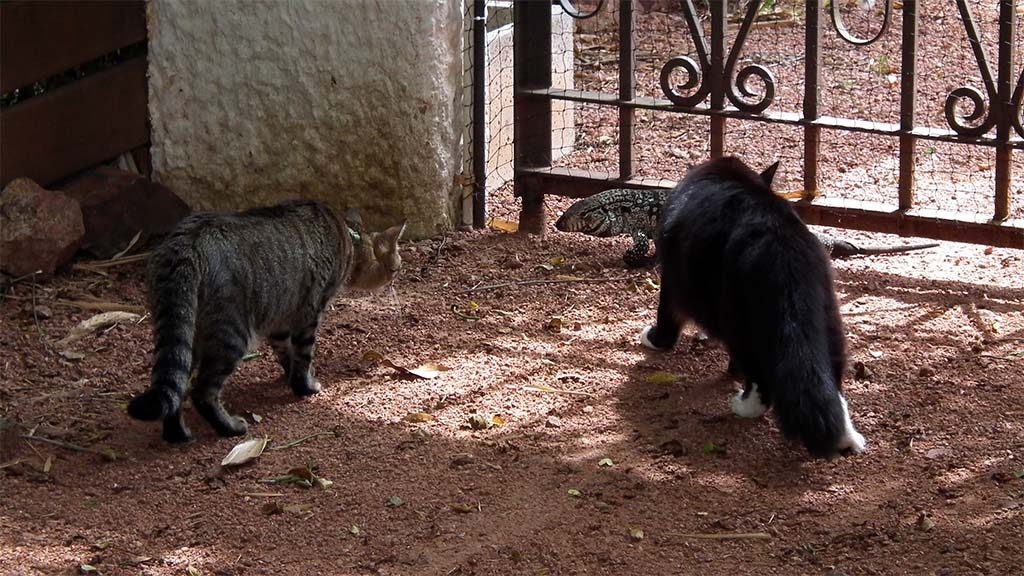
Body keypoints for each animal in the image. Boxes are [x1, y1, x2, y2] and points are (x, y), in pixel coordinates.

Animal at [124, 199, 403, 440]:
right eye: (396, 267)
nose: (395, 277)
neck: (348, 235)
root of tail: (185, 245)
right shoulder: (308, 313)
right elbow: (303, 355)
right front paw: (305, 387)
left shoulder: (279, 319)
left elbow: (286, 353)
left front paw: (291, 377)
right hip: (231, 334)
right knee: (202, 391)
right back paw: (230, 428)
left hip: (187, 331)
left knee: (177, 386)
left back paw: (177, 435)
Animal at [638, 154, 864, 455]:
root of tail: (779, 245)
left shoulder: (672, 279)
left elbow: (667, 318)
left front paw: (653, 339)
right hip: (826, 317)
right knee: (834, 377)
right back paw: (848, 438)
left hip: (737, 319)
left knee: (757, 373)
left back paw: (743, 406)